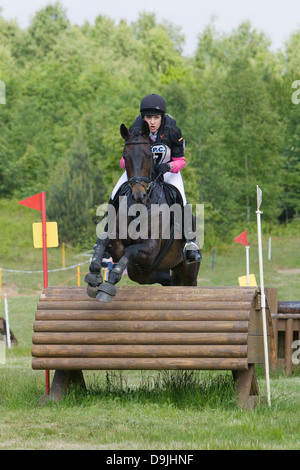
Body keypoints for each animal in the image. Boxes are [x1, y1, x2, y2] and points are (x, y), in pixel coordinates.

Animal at [85, 121, 200, 302]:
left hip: (188, 273)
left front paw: (108, 286)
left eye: (148, 156)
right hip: (142, 273)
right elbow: (104, 242)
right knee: (167, 280)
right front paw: (94, 276)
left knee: (187, 282)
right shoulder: (119, 245)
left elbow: (130, 250)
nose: (139, 196)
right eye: (125, 157)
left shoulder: (150, 250)